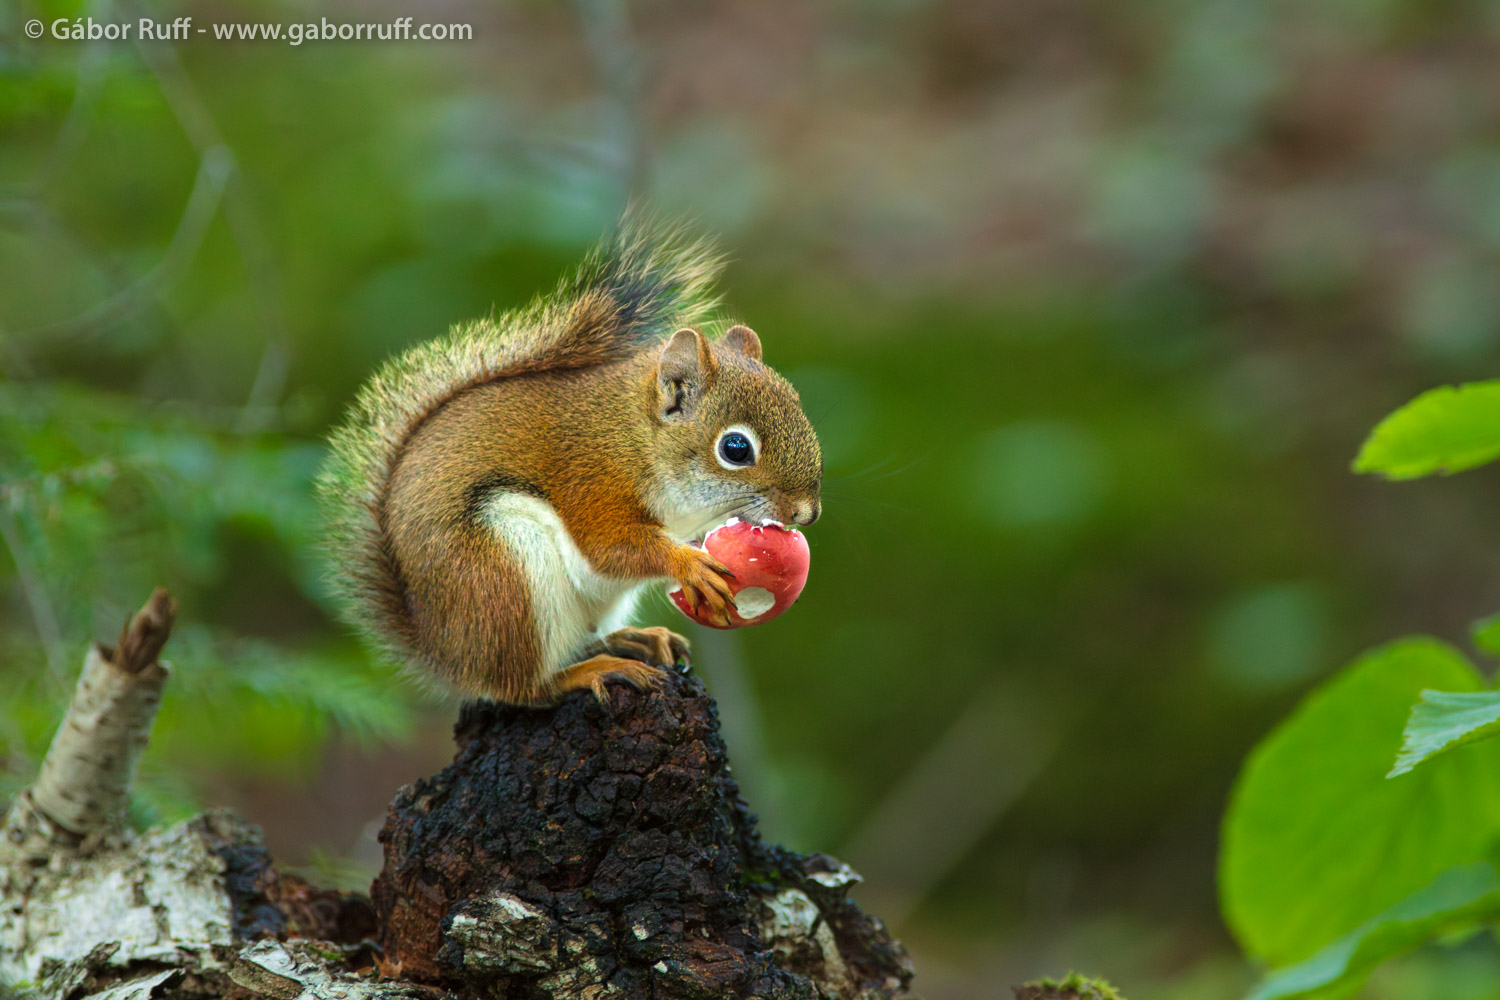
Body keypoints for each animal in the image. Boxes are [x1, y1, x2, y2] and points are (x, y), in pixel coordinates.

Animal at [318, 217, 828, 704]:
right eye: (735, 449)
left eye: (797, 404)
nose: (807, 513)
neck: (636, 440)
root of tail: (446, 654)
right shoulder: (592, 480)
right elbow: (610, 547)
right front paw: (689, 565)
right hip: (503, 576)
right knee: (522, 687)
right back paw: (589, 672)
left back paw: (633, 640)